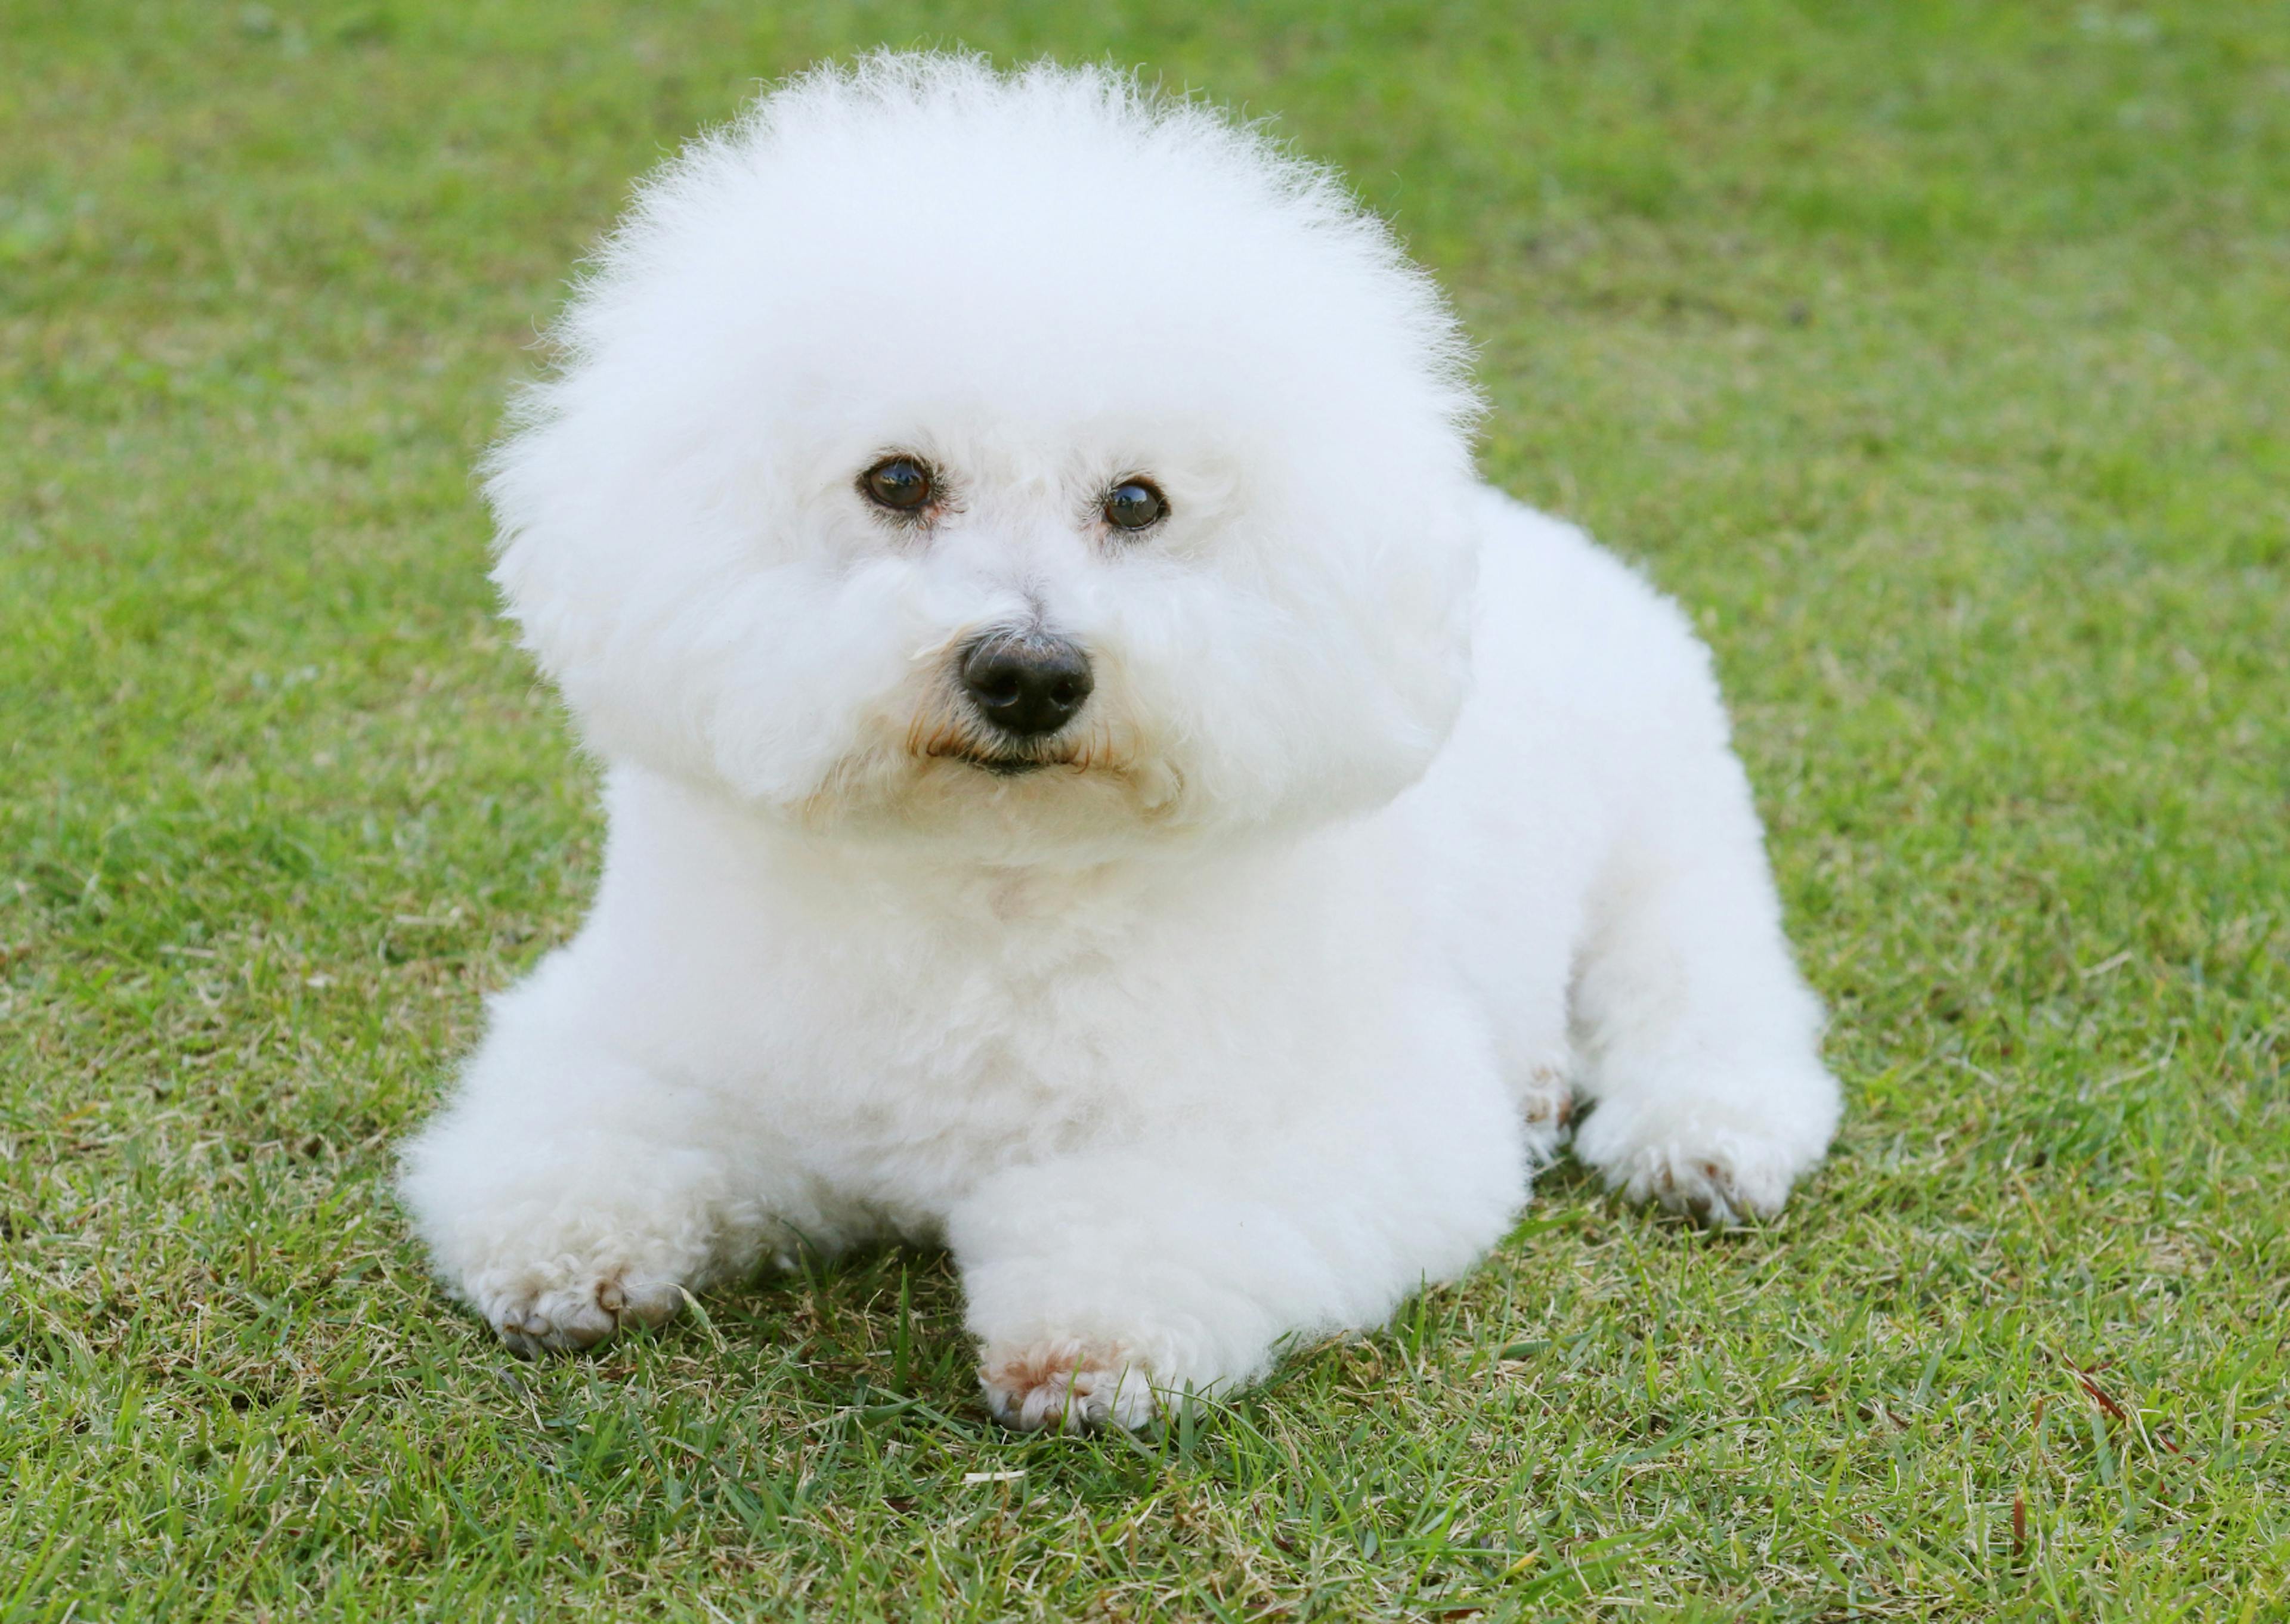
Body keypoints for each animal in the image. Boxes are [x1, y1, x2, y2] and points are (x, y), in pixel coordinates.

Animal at [398, 51, 1841, 1429]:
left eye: (1137, 501)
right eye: (897, 479)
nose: (1029, 674)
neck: (991, 884)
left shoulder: (1349, 1114)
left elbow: (1165, 1215)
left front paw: (1090, 1341)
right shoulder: (638, 1030)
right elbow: (583, 1140)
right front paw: (567, 1253)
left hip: (1674, 833)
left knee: (1702, 981)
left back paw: (1704, 1133)